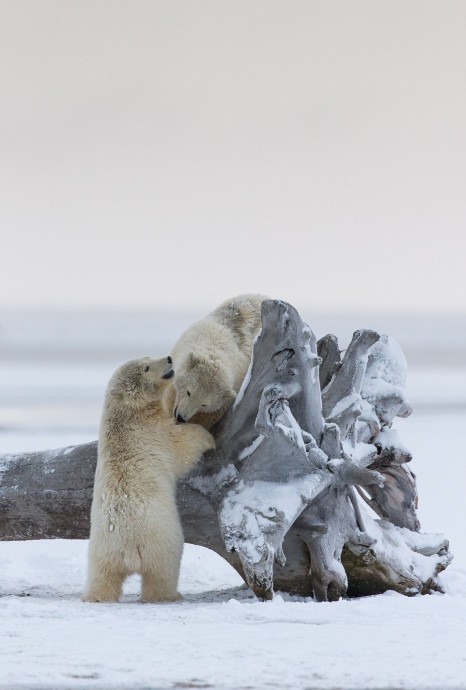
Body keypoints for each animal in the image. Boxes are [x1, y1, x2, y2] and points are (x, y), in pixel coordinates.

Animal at [82, 354, 215, 600]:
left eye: (147, 357)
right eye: (146, 367)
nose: (169, 358)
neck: (128, 412)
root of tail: (128, 549)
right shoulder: (155, 432)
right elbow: (182, 444)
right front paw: (208, 437)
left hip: (101, 550)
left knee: (102, 576)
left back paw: (94, 597)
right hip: (163, 541)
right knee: (162, 572)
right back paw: (170, 595)